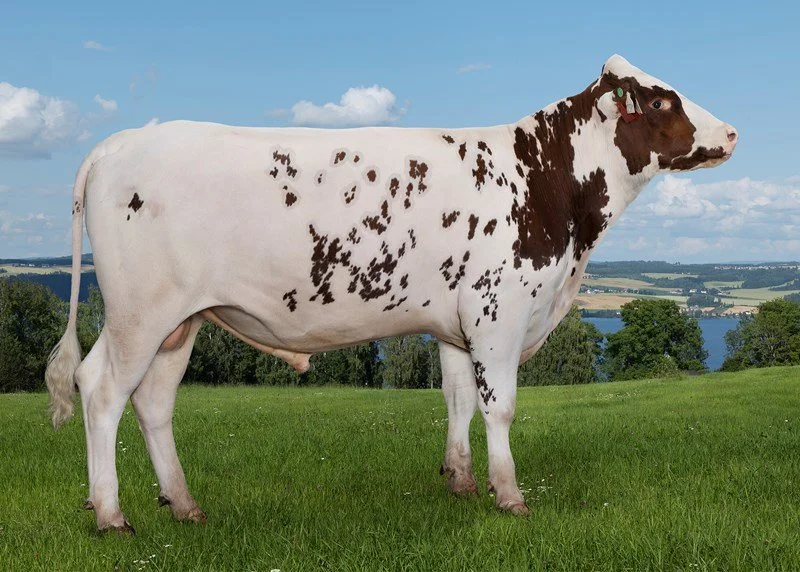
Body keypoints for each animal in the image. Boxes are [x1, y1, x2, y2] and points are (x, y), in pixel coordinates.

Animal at [45, 55, 737, 533]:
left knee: (154, 402)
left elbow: (458, 400)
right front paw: (509, 495)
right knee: (101, 390)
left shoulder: (457, 323)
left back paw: (184, 505)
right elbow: (500, 408)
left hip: (179, 323)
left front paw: (460, 480)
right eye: (659, 100)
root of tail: (118, 142)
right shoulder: (499, 313)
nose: (732, 132)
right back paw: (109, 514)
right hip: (140, 313)